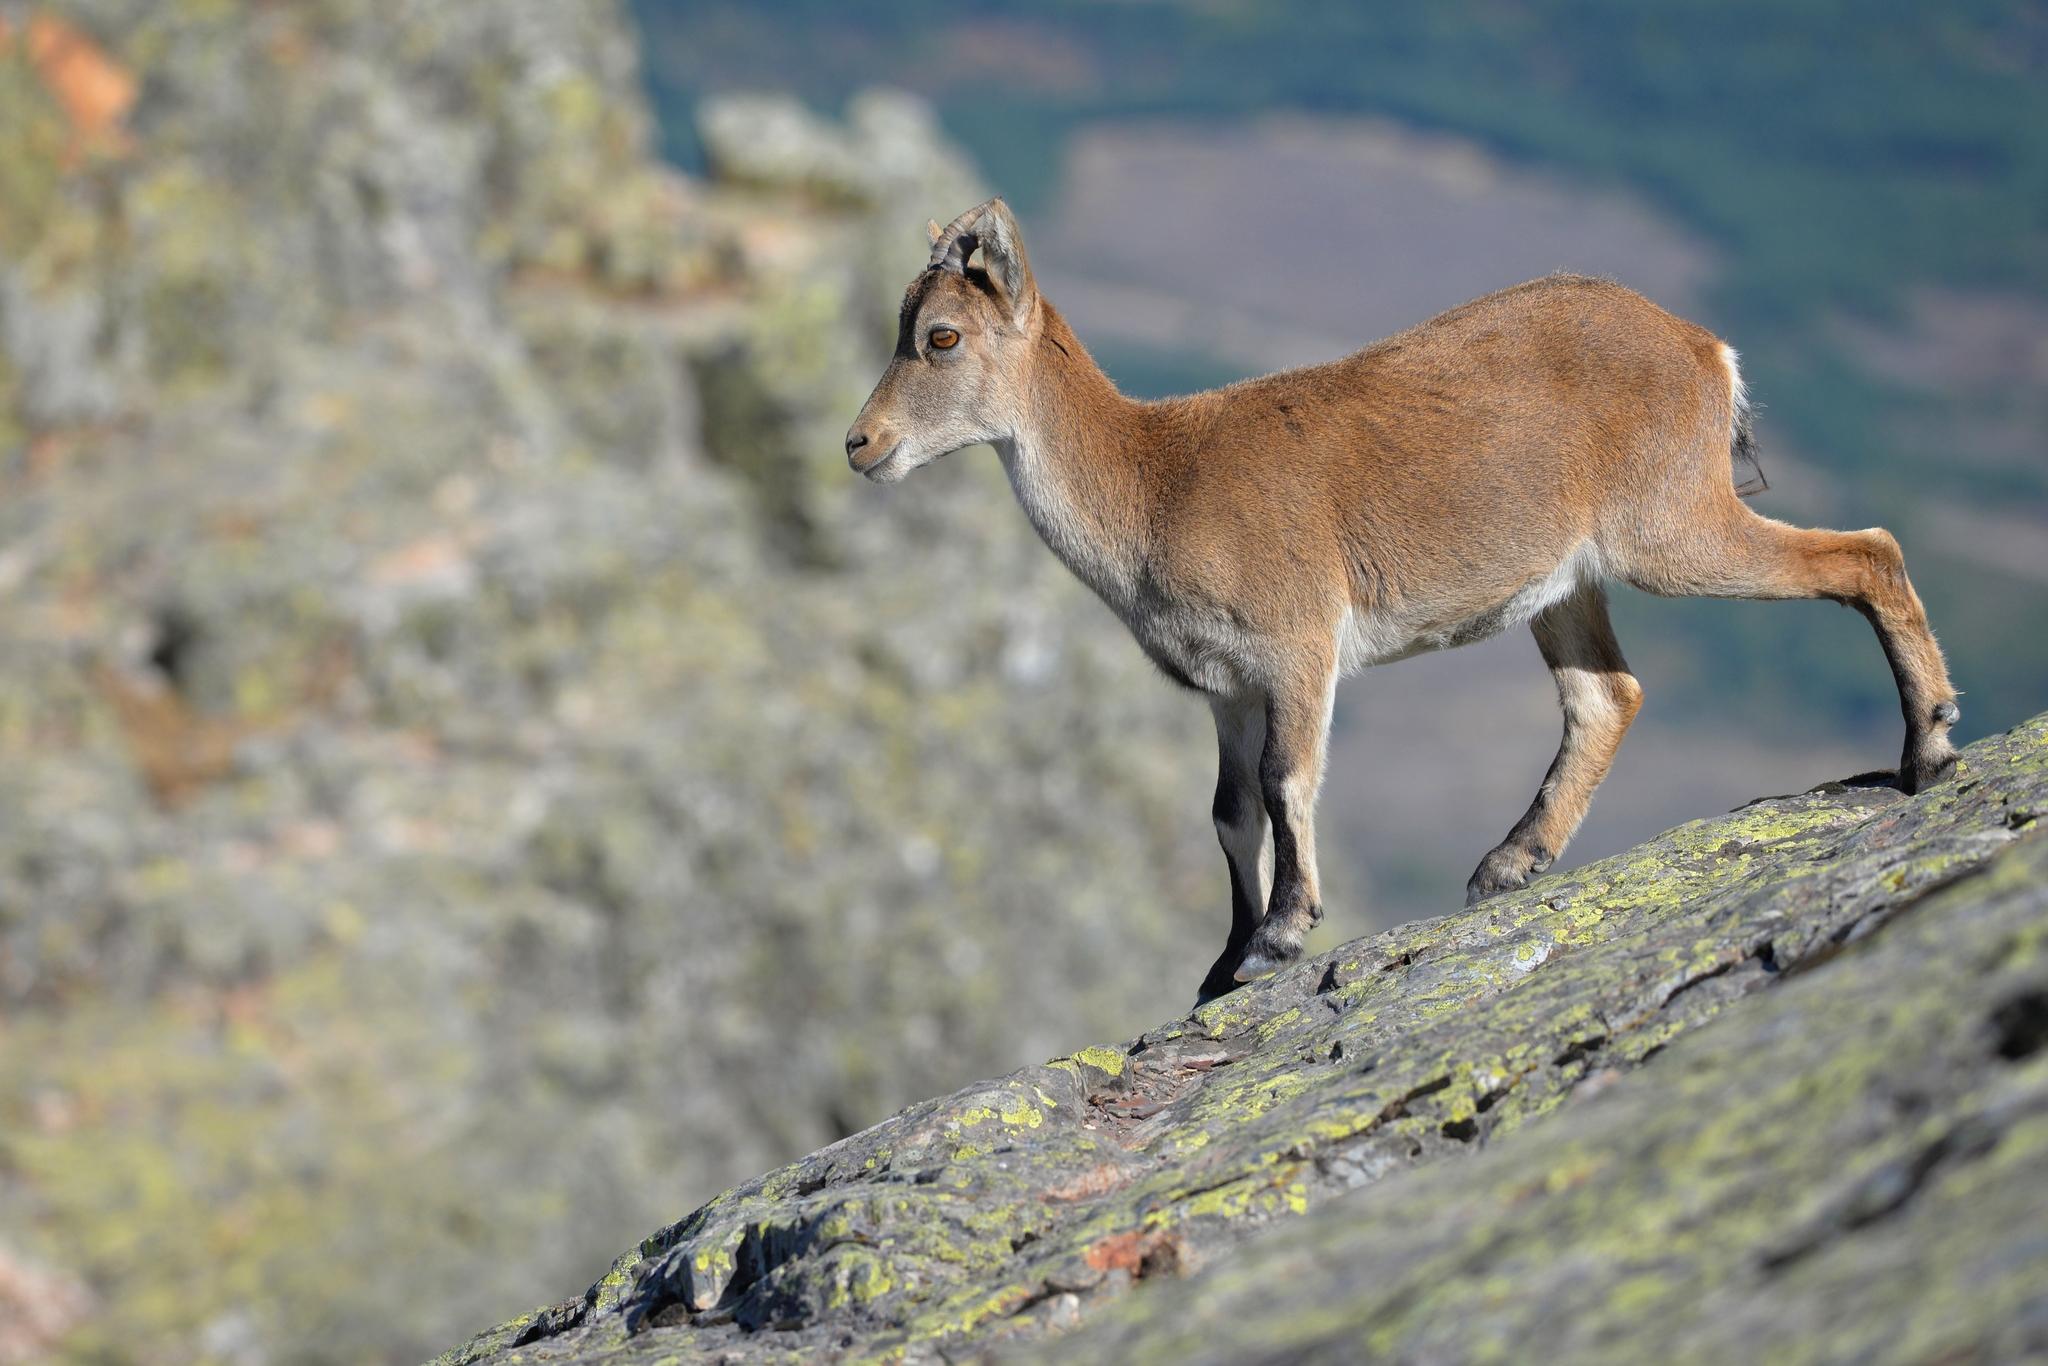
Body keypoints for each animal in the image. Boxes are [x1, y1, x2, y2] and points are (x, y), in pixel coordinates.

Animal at [847, 198, 1960, 1003]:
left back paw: (1928, 747)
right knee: (1606, 695)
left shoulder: (1296, 646)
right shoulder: (1224, 687)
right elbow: (1228, 811)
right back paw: (1509, 863)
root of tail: (1701, 351)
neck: (1155, 481)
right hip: (1566, 581)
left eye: (939, 337)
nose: (861, 444)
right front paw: (1221, 964)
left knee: (1865, 554)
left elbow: (1287, 780)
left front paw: (1282, 935)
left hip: (1671, 527)